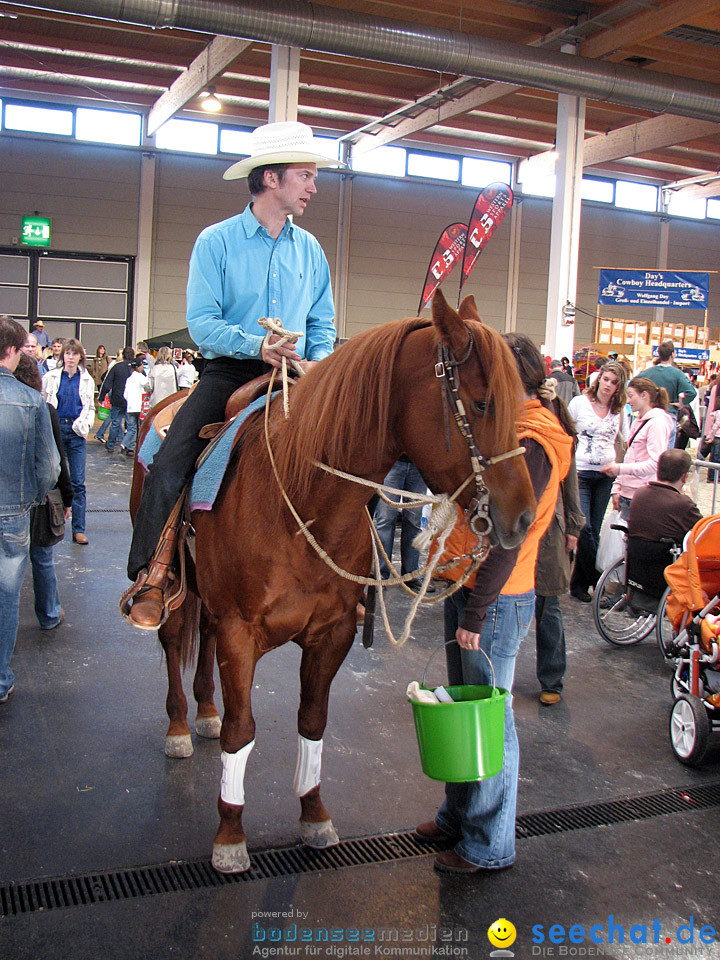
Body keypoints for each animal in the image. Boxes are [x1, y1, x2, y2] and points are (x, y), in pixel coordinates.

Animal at [128, 288, 536, 872]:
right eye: (482, 404)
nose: (523, 518)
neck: (302, 502)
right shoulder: (240, 633)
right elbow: (242, 730)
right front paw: (230, 835)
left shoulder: (333, 633)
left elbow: (313, 721)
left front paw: (314, 815)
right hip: (177, 589)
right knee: (171, 636)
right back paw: (182, 725)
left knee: (201, 639)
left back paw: (204, 711)